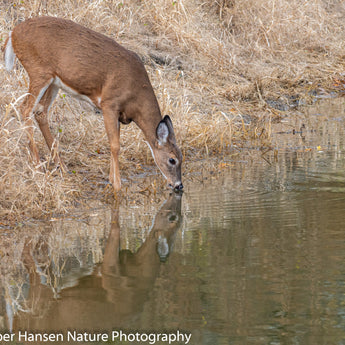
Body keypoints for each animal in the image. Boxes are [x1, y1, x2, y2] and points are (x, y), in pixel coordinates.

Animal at [4, 16, 183, 192]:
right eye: (172, 160)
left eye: (182, 157)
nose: (178, 185)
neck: (136, 94)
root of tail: (13, 33)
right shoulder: (109, 103)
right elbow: (115, 145)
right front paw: (117, 186)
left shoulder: (118, 113)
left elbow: (114, 142)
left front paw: (111, 179)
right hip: (38, 71)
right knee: (25, 108)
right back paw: (38, 165)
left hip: (53, 81)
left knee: (40, 111)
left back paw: (61, 166)